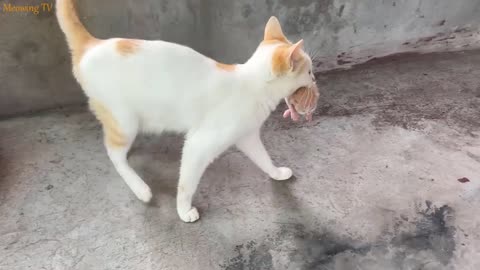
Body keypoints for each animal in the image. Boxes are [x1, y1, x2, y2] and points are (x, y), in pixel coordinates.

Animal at [56, 0, 316, 223]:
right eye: (310, 72)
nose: (315, 80)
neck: (252, 85)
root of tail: (92, 43)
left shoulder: (247, 137)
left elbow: (263, 158)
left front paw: (277, 173)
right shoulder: (198, 145)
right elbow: (186, 184)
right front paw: (183, 210)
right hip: (124, 121)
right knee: (113, 153)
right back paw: (140, 188)